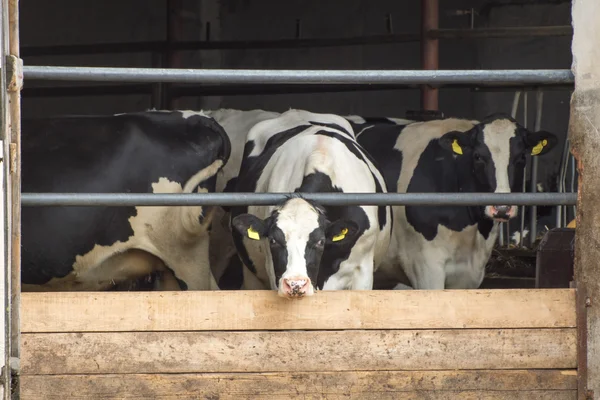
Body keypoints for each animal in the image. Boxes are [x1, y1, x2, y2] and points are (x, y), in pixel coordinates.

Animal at [227, 108, 392, 296]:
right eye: (273, 241)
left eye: (320, 241)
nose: (296, 283)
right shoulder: (273, 272)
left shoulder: (362, 271)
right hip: (252, 275)